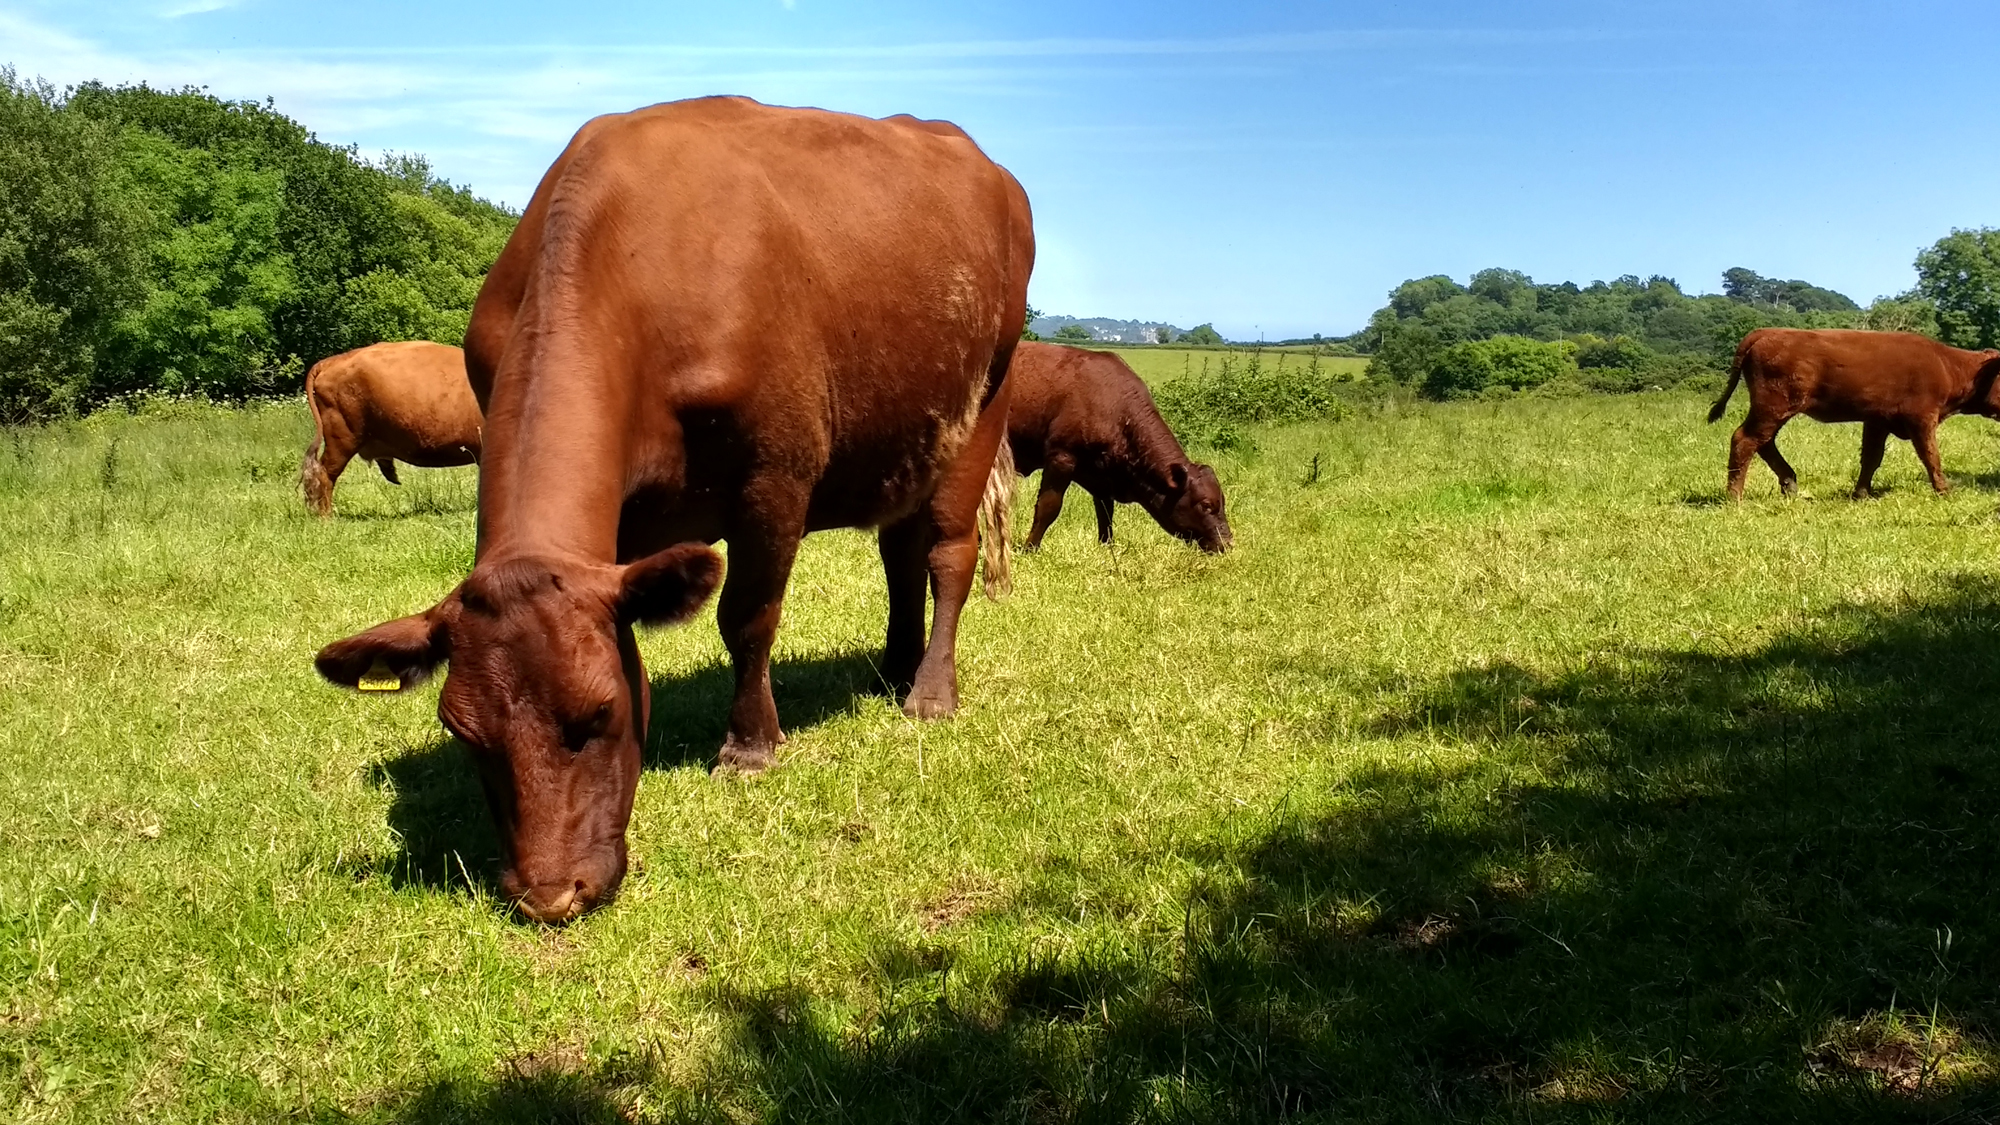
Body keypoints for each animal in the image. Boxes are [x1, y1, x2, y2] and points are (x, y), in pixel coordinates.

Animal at [316, 96, 1032, 920]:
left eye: (599, 712)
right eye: (465, 735)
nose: (550, 896)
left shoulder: (777, 475)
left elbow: (747, 617)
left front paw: (750, 747)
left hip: (984, 402)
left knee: (948, 554)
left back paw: (930, 692)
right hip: (903, 434)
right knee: (900, 553)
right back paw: (895, 665)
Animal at [1008, 342, 1224, 552]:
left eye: (1222, 501)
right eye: (1206, 504)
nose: (1226, 543)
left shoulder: (1102, 476)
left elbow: (1105, 512)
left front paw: (1106, 546)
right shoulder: (1061, 457)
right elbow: (1048, 506)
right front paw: (1030, 548)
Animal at [1704, 326, 2000, 496]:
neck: (1948, 365)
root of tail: (1766, 332)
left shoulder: (1877, 420)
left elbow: (1871, 458)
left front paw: (1860, 493)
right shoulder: (1922, 418)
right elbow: (1931, 456)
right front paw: (1944, 490)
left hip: (1774, 409)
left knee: (1763, 442)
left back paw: (1790, 484)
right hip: (1773, 405)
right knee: (1745, 439)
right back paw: (1734, 497)